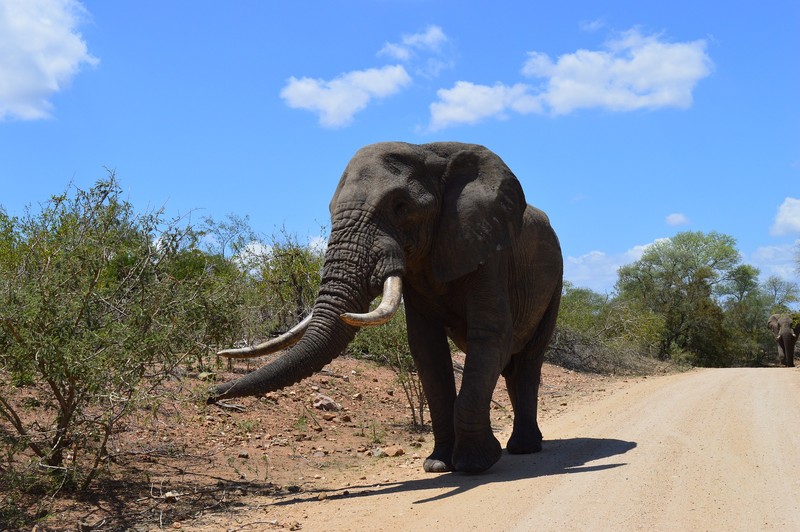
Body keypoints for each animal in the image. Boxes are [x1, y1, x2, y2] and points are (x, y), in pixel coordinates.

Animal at [209, 142, 564, 474]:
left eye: (400, 206)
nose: (210, 394)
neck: (430, 153)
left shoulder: (488, 250)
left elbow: (490, 336)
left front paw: (474, 464)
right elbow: (426, 348)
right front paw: (438, 465)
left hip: (555, 281)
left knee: (528, 361)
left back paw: (524, 448)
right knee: (511, 367)